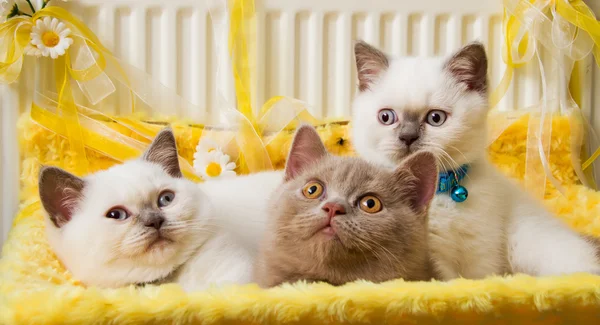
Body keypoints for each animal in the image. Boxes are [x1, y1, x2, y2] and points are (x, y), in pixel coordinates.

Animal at [350, 41, 600, 278]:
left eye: (436, 118)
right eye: (386, 117)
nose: (408, 137)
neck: (439, 192)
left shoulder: (481, 249)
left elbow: (474, 280)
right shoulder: (431, 255)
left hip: (528, 244)